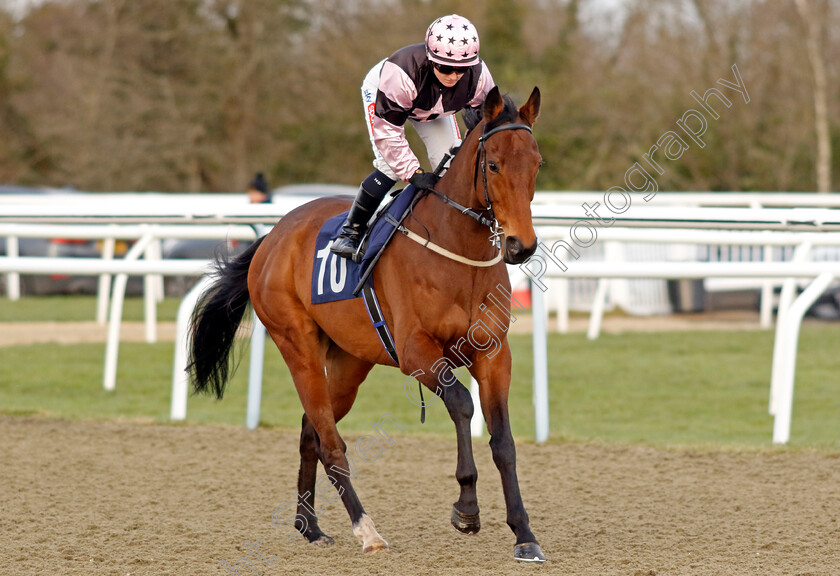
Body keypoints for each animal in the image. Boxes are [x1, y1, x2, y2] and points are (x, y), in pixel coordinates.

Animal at [187, 86, 548, 564]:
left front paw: (523, 533)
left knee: (311, 431)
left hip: (349, 363)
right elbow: (461, 405)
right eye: (493, 165)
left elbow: (504, 441)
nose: (521, 246)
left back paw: (310, 526)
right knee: (330, 442)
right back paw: (366, 529)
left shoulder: (493, 354)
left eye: (537, 163)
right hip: (298, 347)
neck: (457, 252)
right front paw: (467, 508)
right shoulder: (417, 352)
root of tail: (273, 235)